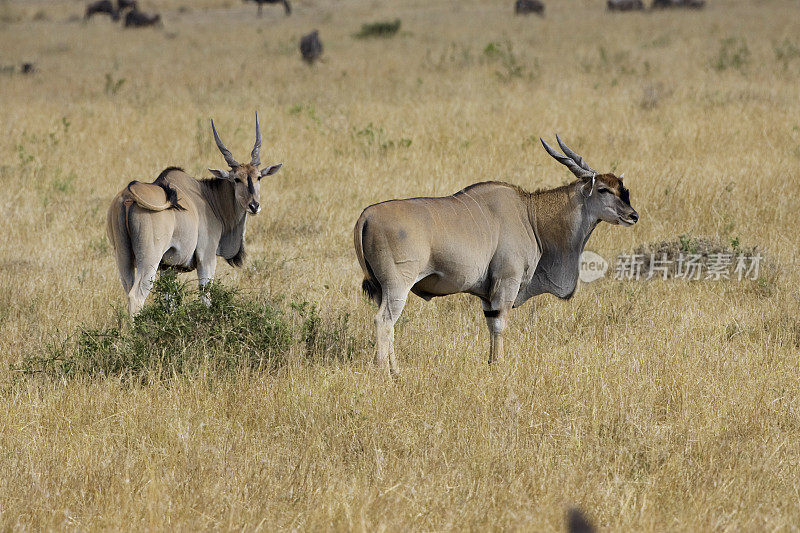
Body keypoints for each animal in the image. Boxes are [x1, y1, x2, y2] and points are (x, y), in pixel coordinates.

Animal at [104, 112, 282, 312]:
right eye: (236, 179)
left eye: (258, 177)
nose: (254, 206)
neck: (208, 196)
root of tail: (128, 194)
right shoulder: (206, 257)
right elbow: (205, 297)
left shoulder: (168, 268)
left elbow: (169, 301)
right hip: (149, 259)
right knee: (136, 296)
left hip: (123, 258)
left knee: (127, 289)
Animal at [354, 137, 636, 378]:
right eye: (603, 190)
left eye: (622, 188)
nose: (633, 215)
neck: (530, 214)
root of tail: (366, 215)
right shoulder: (506, 283)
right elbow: (500, 325)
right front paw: (499, 366)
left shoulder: (487, 294)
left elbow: (491, 324)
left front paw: (491, 363)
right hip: (397, 285)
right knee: (384, 321)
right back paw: (386, 373)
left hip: (381, 289)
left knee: (389, 325)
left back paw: (395, 371)